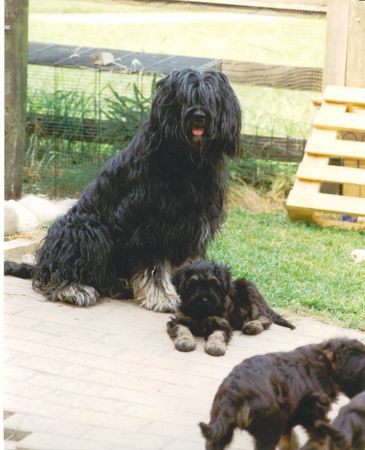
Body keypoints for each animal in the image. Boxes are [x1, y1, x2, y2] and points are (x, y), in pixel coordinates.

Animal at [4, 68, 242, 312]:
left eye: (211, 99)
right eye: (184, 98)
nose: (199, 116)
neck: (188, 160)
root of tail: (42, 265)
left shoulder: (194, 224)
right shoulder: (151, 223)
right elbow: (154, 266)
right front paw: (162, 297)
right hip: (85, 228)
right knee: (60, 273)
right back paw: (75, 289)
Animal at [166, 260, 294, 356]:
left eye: (213, 284)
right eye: (193, 285)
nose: (204, 299)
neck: (203, 312)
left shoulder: (222, 322)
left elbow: (218, 334)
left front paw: (215, 346)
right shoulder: (179, 319)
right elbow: (182, 328)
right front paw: (185, 341)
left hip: (248, 287)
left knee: (264, 317)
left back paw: (252, 325)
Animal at [199, 338, 364, 450]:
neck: (326, 363)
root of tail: (235, 393)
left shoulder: (288, 420)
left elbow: (289, 441)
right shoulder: (313, 414)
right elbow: (319, 438)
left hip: (221, 427)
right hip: (268, 430)